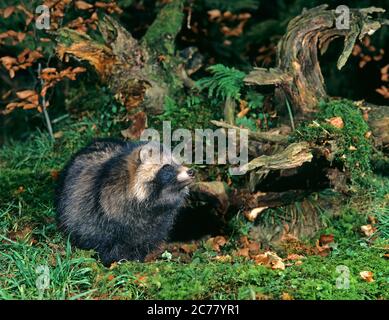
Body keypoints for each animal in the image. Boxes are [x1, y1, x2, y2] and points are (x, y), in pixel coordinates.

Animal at [54, 139, 194, 266]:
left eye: (177, 163)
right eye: (167, 167)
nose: (191, 171)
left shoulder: (158, 224)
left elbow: (147, 240)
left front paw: (137, 259)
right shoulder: (97, 211)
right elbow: (98, 238)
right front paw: (112, 261)